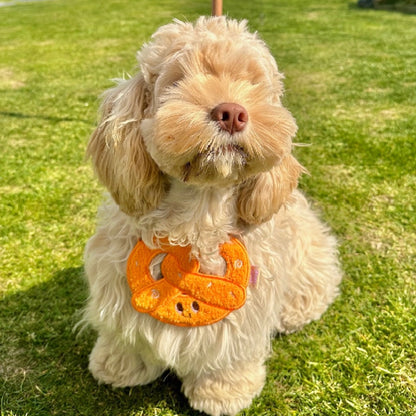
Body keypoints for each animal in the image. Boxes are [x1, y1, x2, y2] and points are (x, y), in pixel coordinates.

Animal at [83, 16, 342, 416]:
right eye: (178, 79)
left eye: (253, 83)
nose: (232, 113)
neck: (199, 212)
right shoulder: (114, 277)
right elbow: (122, 332)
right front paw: (117, 365)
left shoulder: (244, 312)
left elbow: (228, 355)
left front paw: (222, 393)